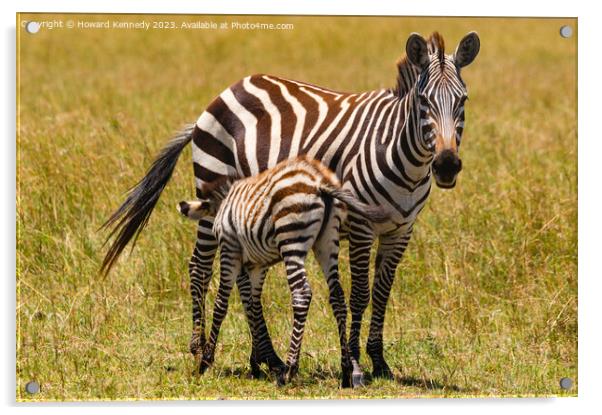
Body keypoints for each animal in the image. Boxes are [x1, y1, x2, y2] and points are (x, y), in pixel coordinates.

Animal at [177, 156, 390, 386]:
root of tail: (319, 184)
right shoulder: (257, 264)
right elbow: (252, 305)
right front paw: (256, 363)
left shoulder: (229, 249)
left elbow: (221, 304)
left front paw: (206, 361)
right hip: (327, 242)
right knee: (338, 297)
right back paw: (346, 371)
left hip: (291, 240)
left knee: (302, 294)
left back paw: (290, 369)